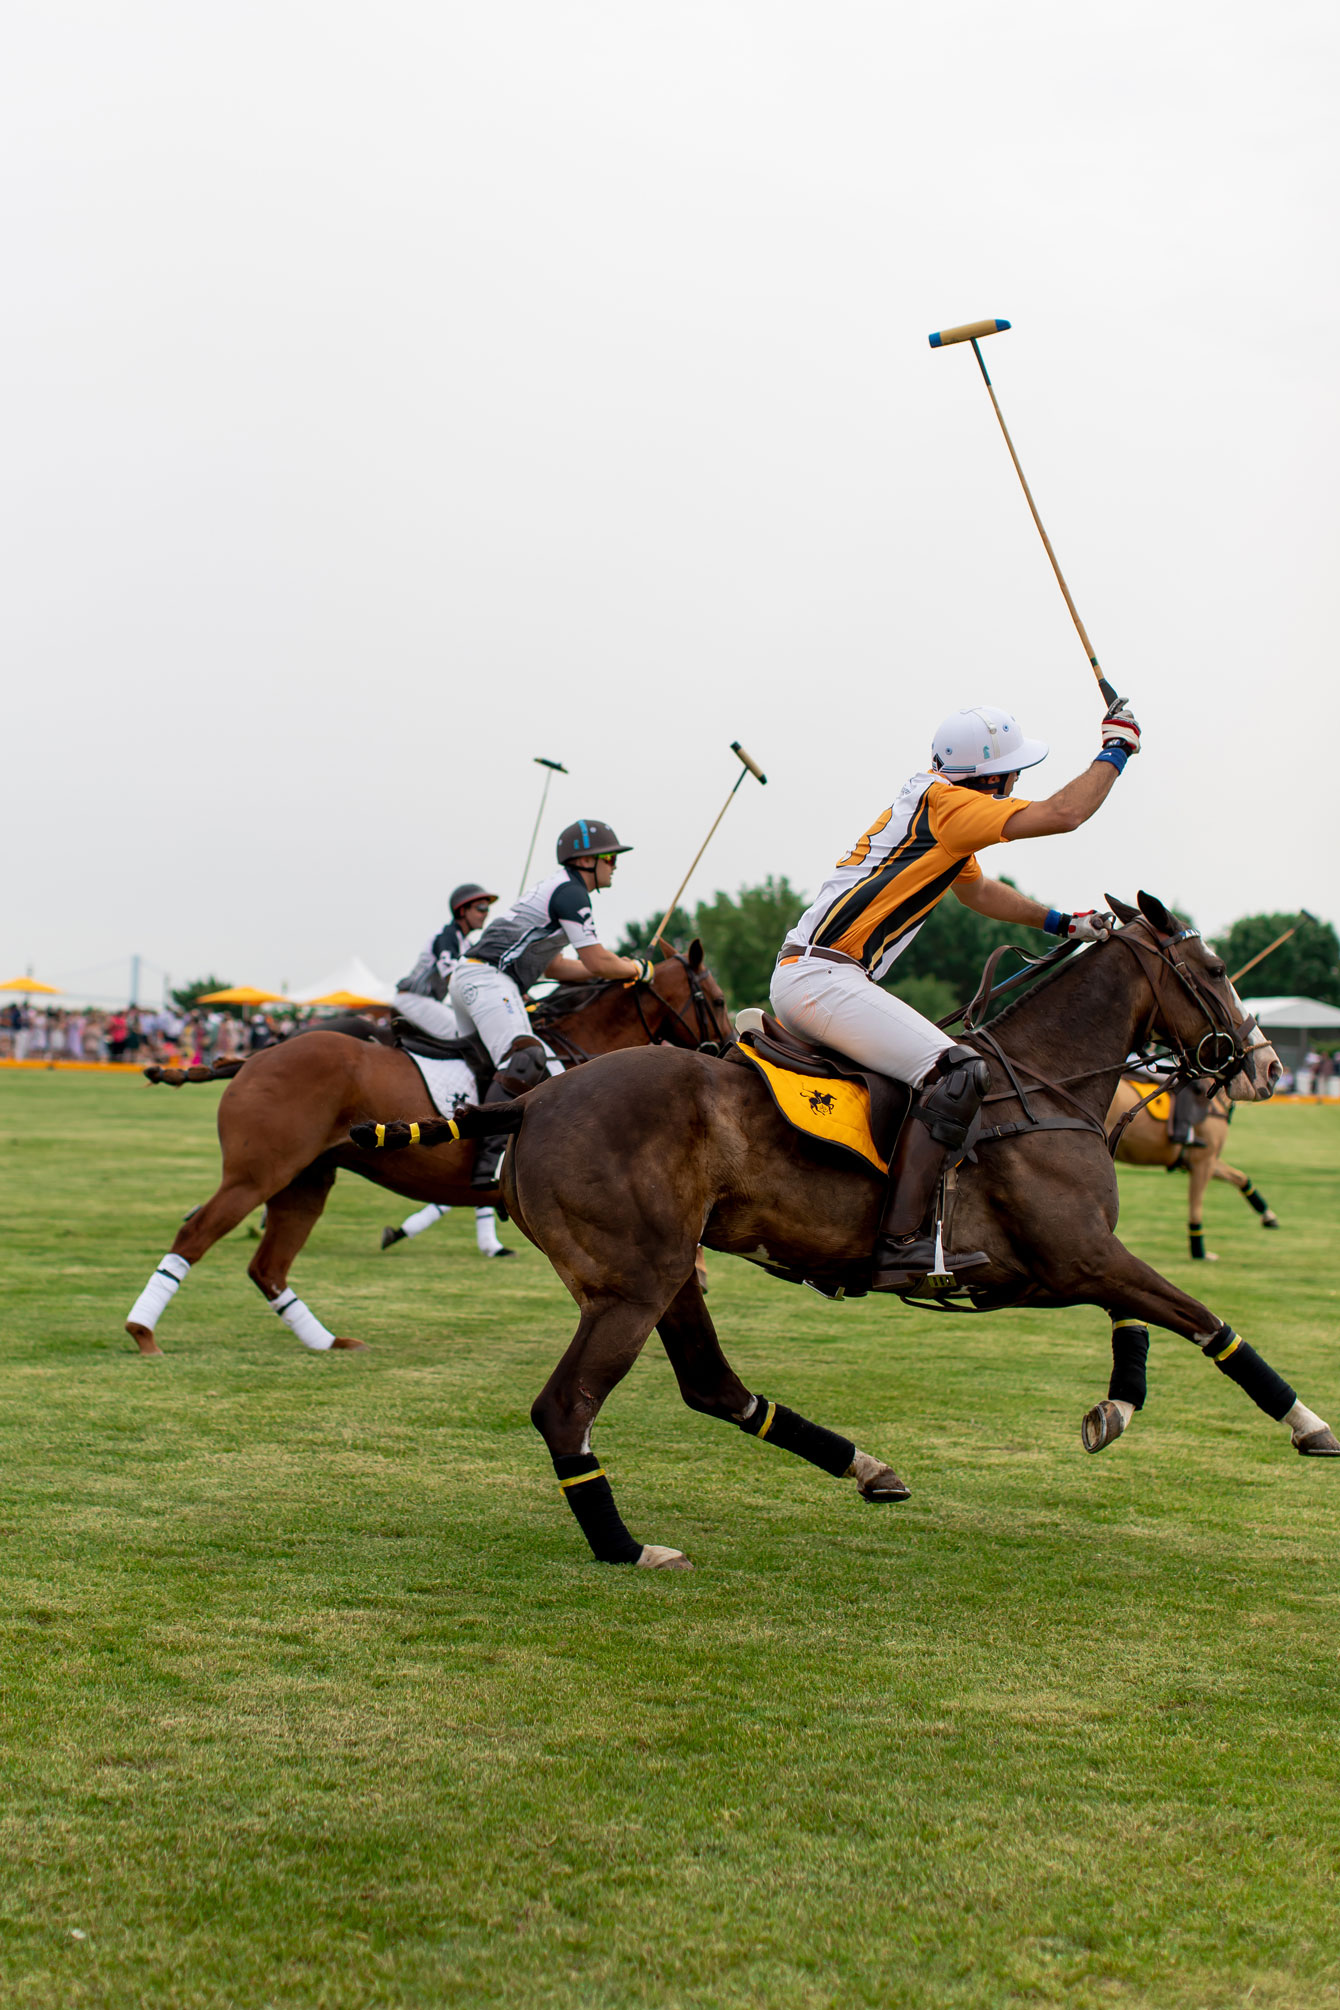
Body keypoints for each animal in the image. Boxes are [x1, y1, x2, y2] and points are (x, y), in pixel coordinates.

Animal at [124, 948, 727, 1358]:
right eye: (717, 999)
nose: (722, 1049)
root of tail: (253, 1057)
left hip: (306, 1181)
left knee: (267, 1266)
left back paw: (325, 1341)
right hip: (257, 1174)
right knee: (196, 1235)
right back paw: (143, 1332)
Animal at [381, 896, 1333, 1567]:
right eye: (1215, 965)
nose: (1265, 1066)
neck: (1047, 1084)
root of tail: (532, 1099)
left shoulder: (1063, 1264)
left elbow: (1140, 1316)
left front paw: (1116, 1406)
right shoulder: (1075, 1255)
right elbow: (1204, 1318)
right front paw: (1309, 1424)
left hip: (667, 1273)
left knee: (713, 1388)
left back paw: (866, 1467)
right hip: (633, 1283)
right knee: (567, 1407)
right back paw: (627, 1546)